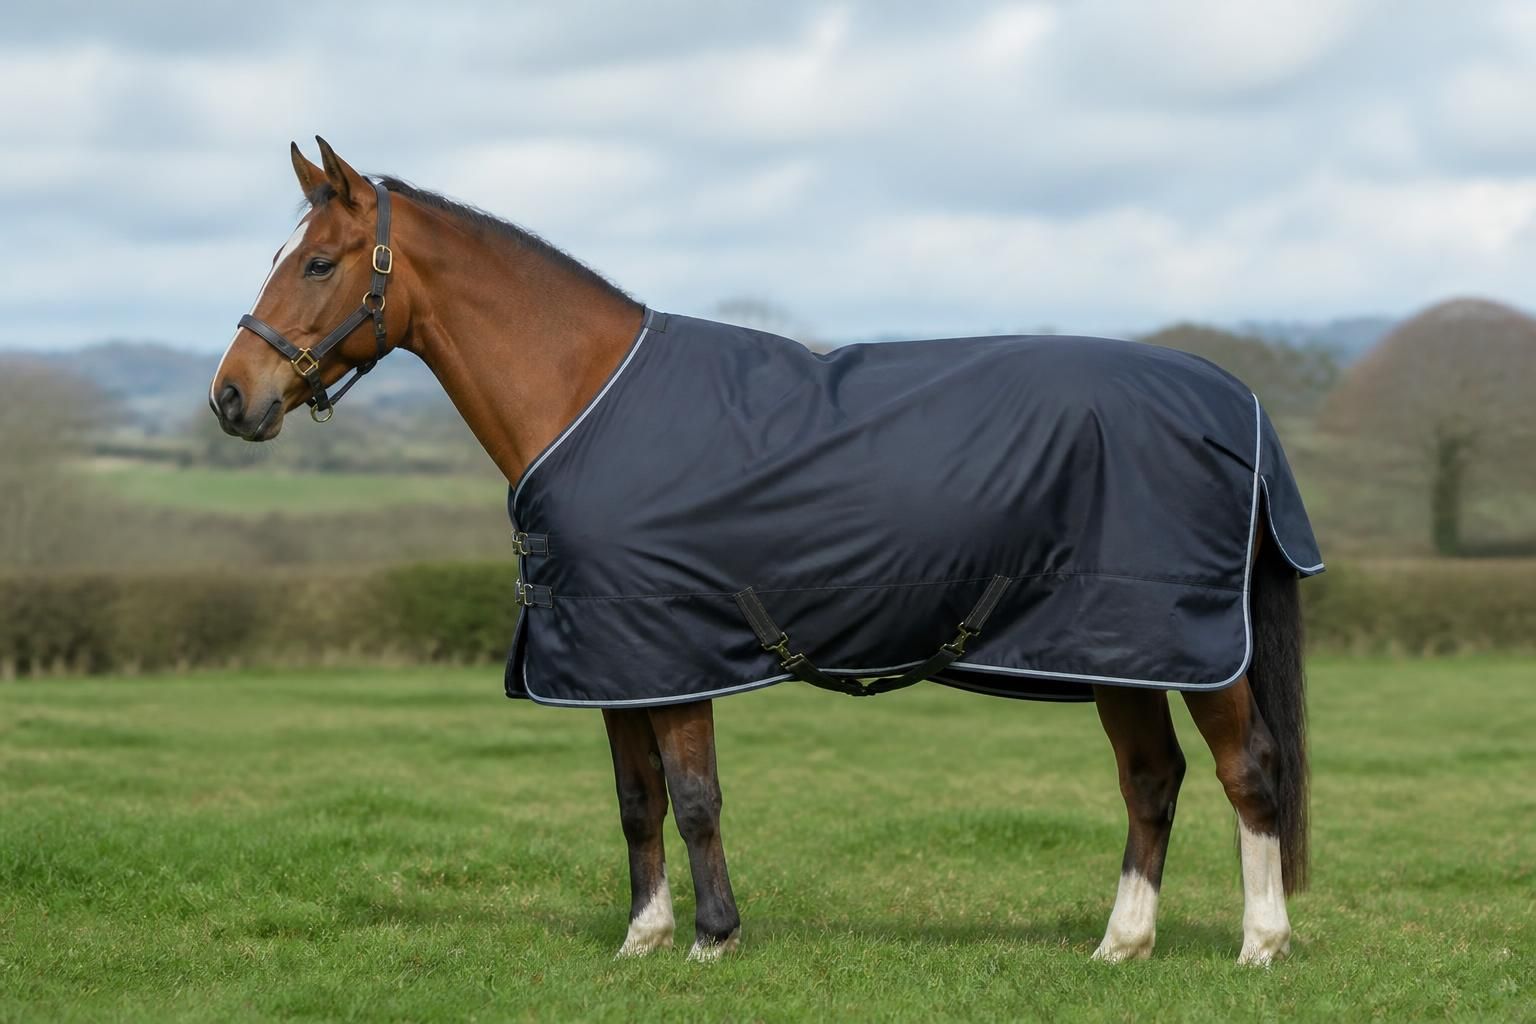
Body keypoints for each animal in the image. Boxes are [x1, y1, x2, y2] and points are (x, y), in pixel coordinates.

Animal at [210, 138, 1315, 965]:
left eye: (318, 262)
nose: (231, 396)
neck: (587, 396)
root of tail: (1239, 406)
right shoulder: (616, 658)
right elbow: (637, 801)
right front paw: (644, 937)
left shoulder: (673, 647)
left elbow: (695, 797)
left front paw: (713, 937)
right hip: (1116, 647)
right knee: (1153, 778)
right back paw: (1120, 945)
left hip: (1188, 647)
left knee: (1248, 768)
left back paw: (1260, 943)